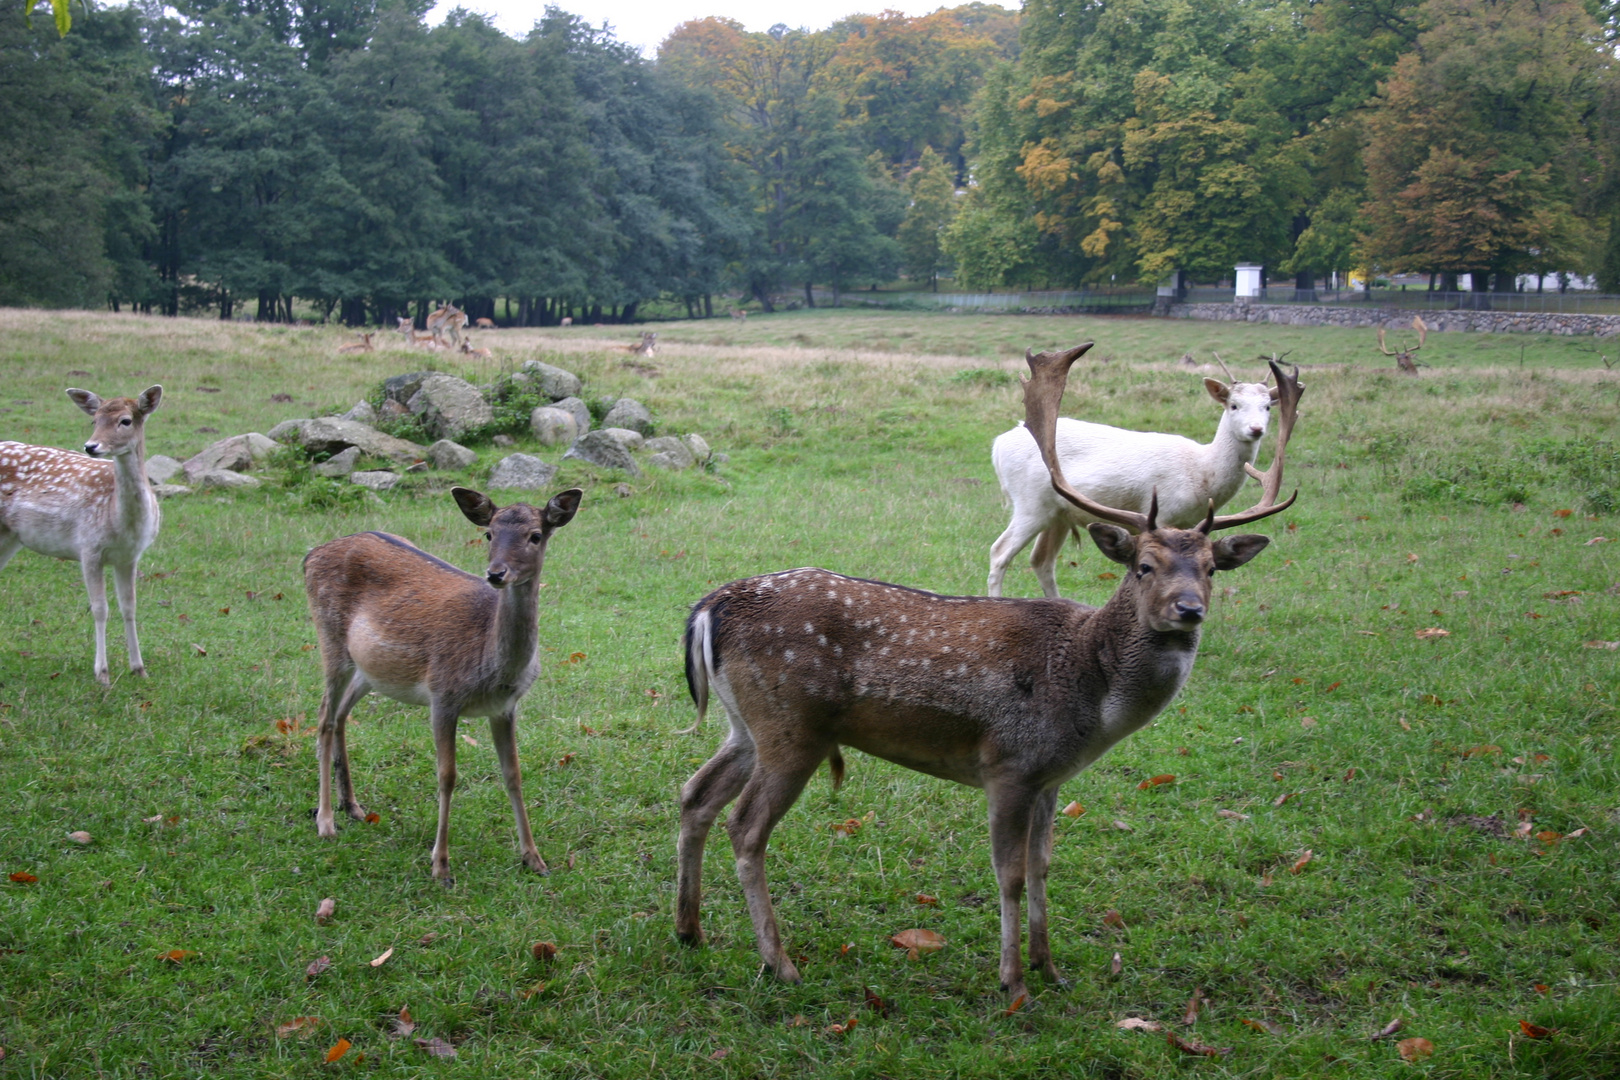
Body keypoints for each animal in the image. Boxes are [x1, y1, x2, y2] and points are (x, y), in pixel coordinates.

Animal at [0, 383, 162, 680]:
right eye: (94, 420)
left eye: (125, 420)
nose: (90, 446)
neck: (120, 521)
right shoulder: (89, 547)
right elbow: (99, 608)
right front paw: (102, 673)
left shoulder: (129, 556)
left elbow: (129, 606)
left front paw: (139, 668)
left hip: (9, 536)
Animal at [304, 485, 583, 880]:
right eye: (489, 534)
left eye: (536, 535)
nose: (496, 573)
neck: (492, 668)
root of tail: (310, 554)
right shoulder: (443, 695)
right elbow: (447, 776)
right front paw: (441, 866)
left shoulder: (505, 707)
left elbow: (513, 774)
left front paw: (535, 859)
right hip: (329, 639)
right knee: (324, 717)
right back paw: (326, 821)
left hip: (370, 669)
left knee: (341, 715)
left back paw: (353, 806)